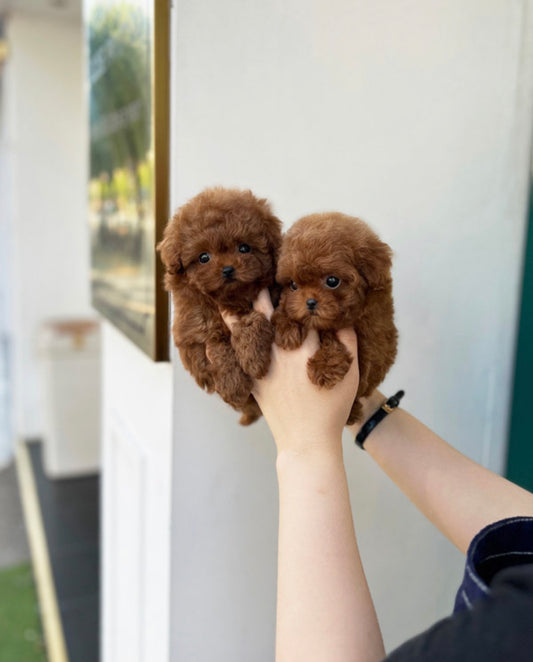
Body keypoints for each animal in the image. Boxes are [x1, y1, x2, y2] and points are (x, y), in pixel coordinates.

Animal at [158, 188, 282, 426]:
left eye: (244, 248)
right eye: (204, 257)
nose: (227, 270)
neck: (231, 300)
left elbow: (255, 319)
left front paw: (253, 358)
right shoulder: (194, 332)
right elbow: (218, 346)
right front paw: (234, 385)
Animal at [272, 213, 396, 426]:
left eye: (332, 281)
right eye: (293, 285)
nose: (310, 302)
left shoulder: (373, 335)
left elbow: (336, 340)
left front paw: (324, 367)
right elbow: (284, 308)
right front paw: (285, 328)